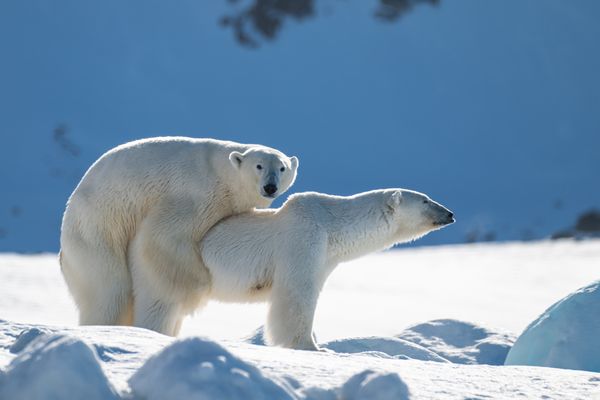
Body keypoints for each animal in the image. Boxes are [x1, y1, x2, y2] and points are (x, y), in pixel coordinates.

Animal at [59, 136, 298, 336]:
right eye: (259, 165)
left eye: (282, 167)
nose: (270, 187)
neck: (223, 174)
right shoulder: (196, 194)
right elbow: (161, 235)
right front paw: (198, 282)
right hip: (96, 231)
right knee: (109, 290)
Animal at [202, 188, 454, 350]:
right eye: (425, 200)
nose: (450, 214)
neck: (332, 226)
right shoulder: (304, 238)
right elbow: (298, 292)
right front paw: (311, 346)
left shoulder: (326, 258)